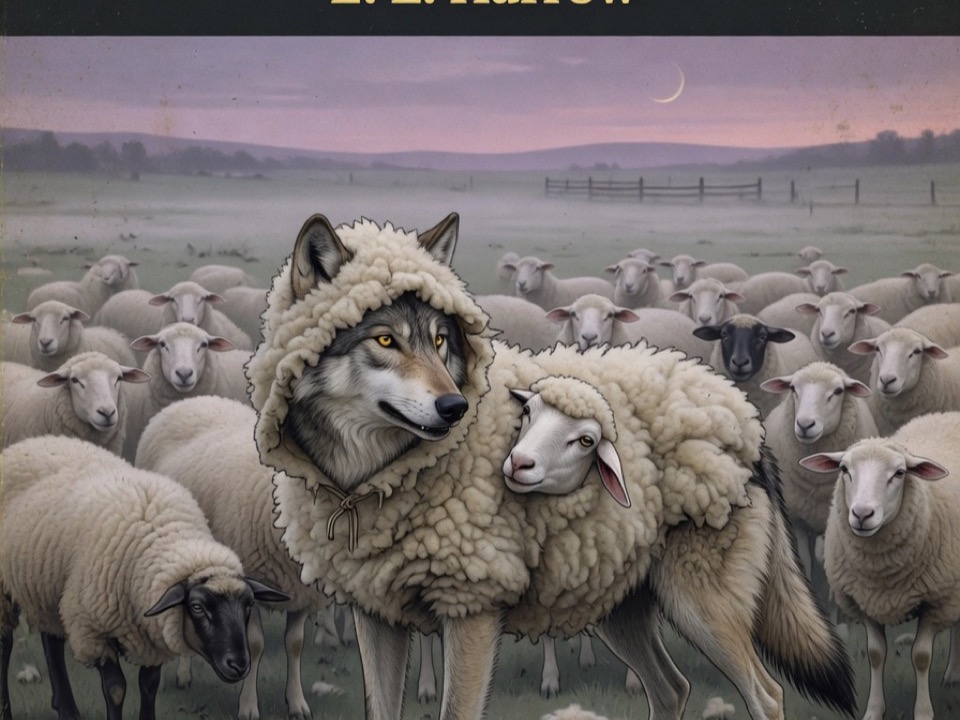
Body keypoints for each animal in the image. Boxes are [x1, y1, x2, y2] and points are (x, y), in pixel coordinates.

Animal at [0, 436, 289, 720]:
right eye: (197, 607)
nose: (239, 665)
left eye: (249, 605)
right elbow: (116, 689)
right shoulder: (95, 631)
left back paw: (68, 710)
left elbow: (149, 685)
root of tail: (33, 441)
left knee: (51, 639)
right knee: (7, 642)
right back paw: (8, 710)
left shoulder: (152, 633)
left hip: (46, 586)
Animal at [136, 395, 329, 720]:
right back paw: (183, 675)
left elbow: (295, 645)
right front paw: (248, 706)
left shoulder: (301, 592)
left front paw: (297, 702)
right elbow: (254, 645)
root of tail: (192, 399)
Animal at [497, 374, 855, 720]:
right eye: (526, 411)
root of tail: (754, 447)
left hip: (700, 611)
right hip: (621, 611)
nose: (518, 463)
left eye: (587, 440)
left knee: (765, 695)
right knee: (672, 690)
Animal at [758, 362, 877, 580]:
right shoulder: (797, 519)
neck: (815, 475)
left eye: (838, 391)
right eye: (793, 388)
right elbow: (804, 561)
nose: (805, 424)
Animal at [799, 411, 960, 720]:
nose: (862, 514)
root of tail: (948, 414)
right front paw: (874, 710)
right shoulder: (865, 601)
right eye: (844, 469)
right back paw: (952, 676)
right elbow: (875, 654)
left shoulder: (936, 601)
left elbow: (921, 657)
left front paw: (923, 712)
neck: (882, 575)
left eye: (899, 473)